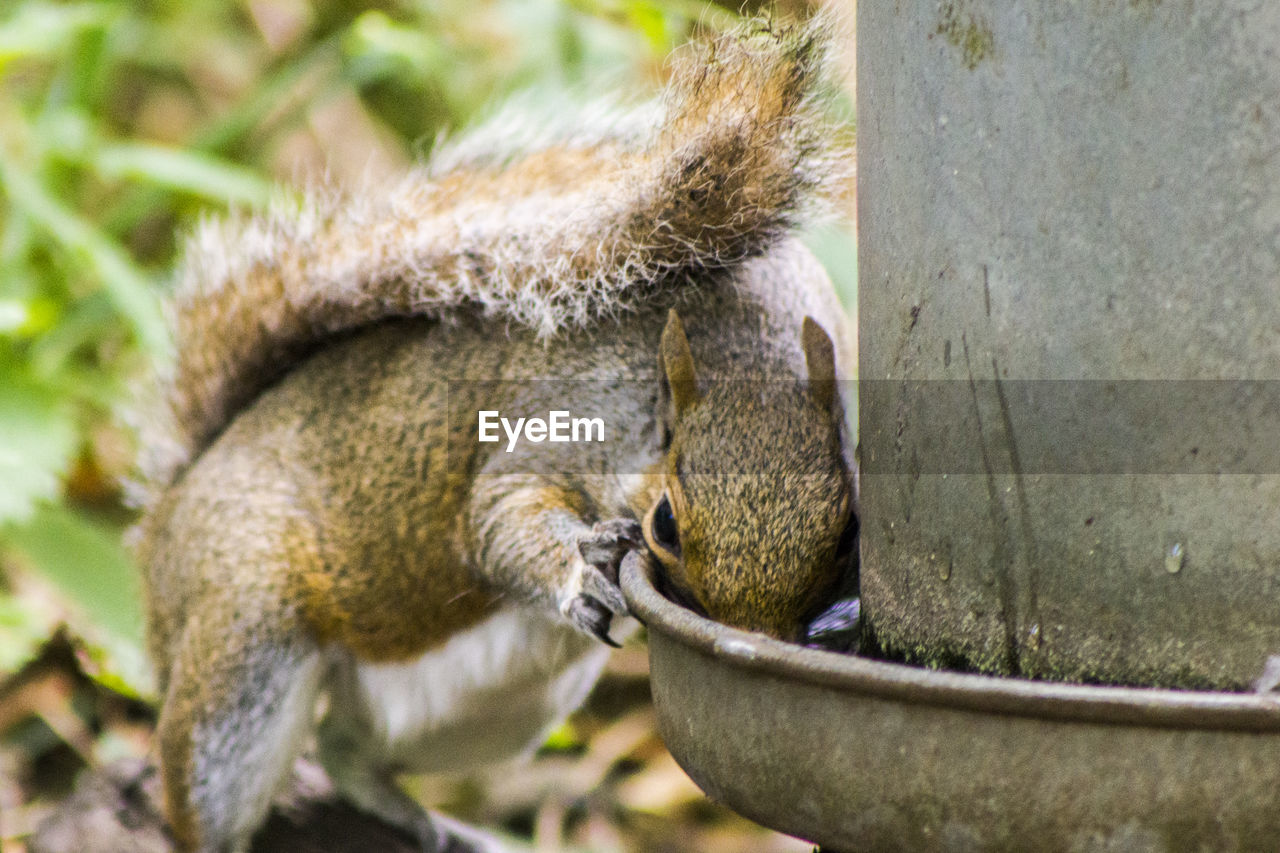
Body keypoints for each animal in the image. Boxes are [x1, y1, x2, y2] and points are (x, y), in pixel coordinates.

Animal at [124, 14, 860, 850]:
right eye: (665, 524)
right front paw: (580, 565)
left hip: (496, 710)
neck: (743, 356)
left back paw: (437, 822)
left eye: (848, 531)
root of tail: (173, 505)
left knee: (346, 749)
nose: (756, 647)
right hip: (242, 638)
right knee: (208, 785)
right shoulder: (568, 416)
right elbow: (498, 512)